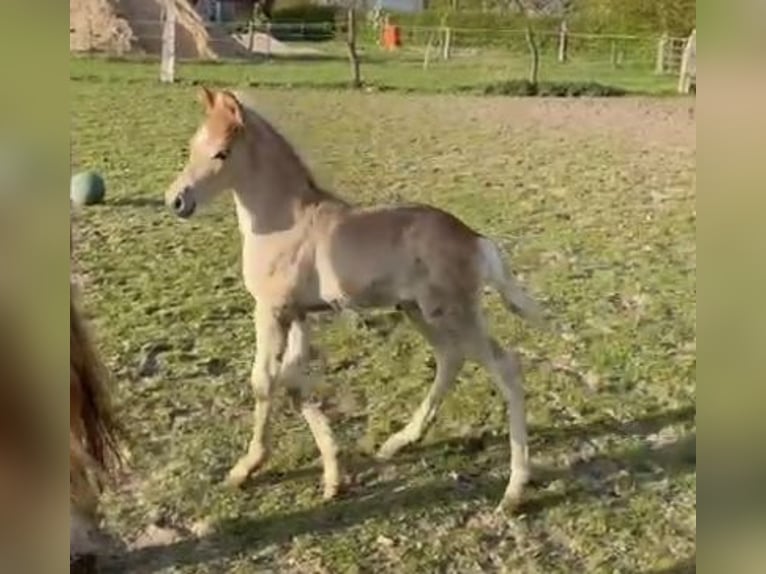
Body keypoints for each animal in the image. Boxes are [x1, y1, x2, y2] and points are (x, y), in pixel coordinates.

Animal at [164, 86, 544, 512]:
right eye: (193, 145)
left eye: (221, 153)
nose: (176, 201)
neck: (285, 221)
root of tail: (475, 238)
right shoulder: (299, 313)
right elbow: (293, 381)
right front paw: (334, 476)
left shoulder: (272, 310)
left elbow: (264, 380)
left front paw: (246, 468)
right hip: (418, 311)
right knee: (450, 359)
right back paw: (398, 442)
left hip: (454, 313)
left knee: (505, 368)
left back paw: (514, 490)